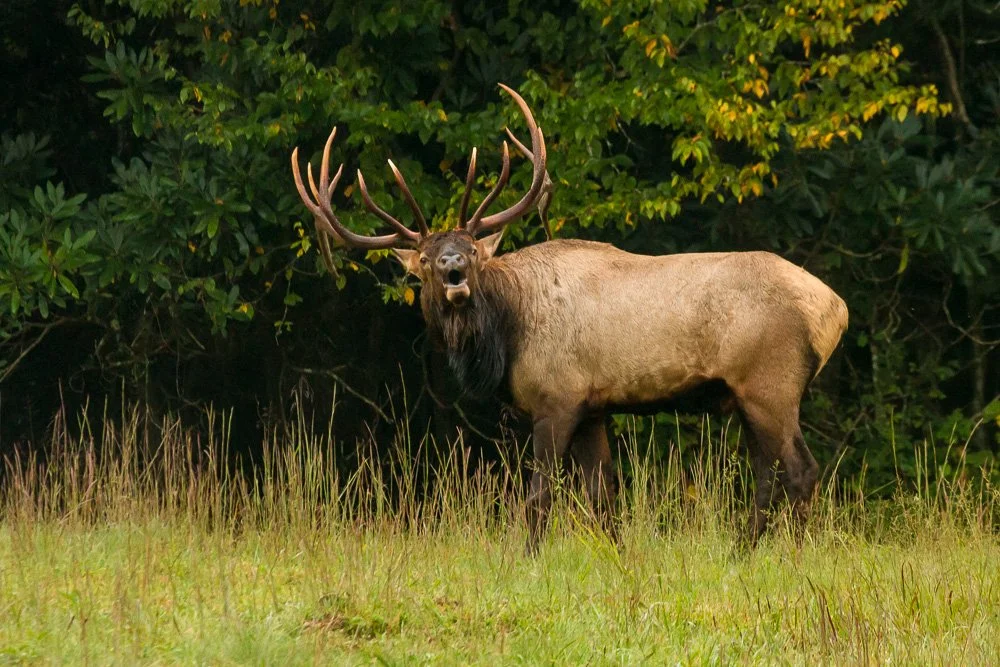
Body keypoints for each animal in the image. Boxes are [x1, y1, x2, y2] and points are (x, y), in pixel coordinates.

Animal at [291, 84, 849, 553]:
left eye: (471, 249)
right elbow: (604, 498)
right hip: (747, 397)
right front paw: (617, 559)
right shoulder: (593, 407)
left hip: (770, 383)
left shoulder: (556, 398)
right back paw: (742, 553)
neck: (507, 335)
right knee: (767, 476)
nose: (453, 269)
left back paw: (793, 555)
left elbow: (539, 496)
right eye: (426, 259)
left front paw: (526, 560)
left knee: (801, 471)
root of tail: (834, 309)